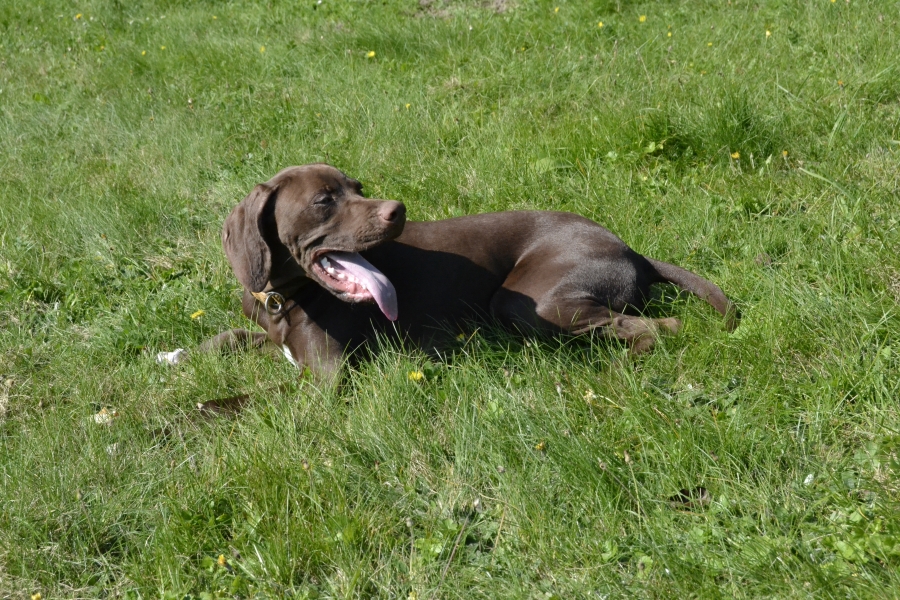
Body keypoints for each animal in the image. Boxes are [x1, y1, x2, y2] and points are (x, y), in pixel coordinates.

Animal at [159, 164, 737, 376]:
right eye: (325, 200)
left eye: (358, 188)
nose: (397, 210)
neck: (284, 297)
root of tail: (631, 250)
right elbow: (229, 337)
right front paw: (174, 354)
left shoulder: (325, 379)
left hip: (531, 302)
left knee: (659, 327)